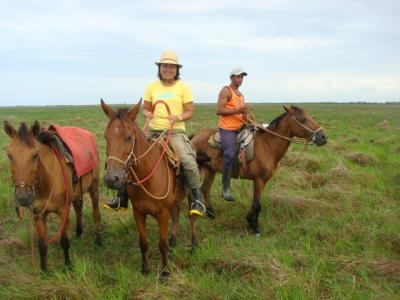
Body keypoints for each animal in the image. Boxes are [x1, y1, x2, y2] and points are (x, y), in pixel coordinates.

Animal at [3, 120, 101, 274]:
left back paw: (98, 240)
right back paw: (79, 233)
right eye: (9, 155)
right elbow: (42, 244)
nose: (23, 197)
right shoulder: (38, 213)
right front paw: (44, 270)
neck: (47, 182)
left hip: (94, 188)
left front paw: (68, 265)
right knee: (78, 208)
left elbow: (64, 241)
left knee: (96, 213)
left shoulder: (63, 211)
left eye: (35, 155)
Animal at [101, 99, 198, 278]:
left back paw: (194, 244)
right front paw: (145, 269)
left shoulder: (163, 213)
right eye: (106, 136)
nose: (111, 179)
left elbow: (162, 244)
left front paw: (165, 272)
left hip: (190, 195)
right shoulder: (138, 212)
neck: (148, 175)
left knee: (192, 216)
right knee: (177, 214)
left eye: (129, 137)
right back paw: (174, 240)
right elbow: (143, 242)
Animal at [191, 105, 328, 234]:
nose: (323, 137)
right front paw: (255, 228)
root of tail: (195, 136)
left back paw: (211, 214)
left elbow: (255, 202)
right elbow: (257, 205)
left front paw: (249, 221)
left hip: (210, 170)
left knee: (205, 188)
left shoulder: (264, 181)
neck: (267, 145)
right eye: (302, 119)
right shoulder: (258, 180)